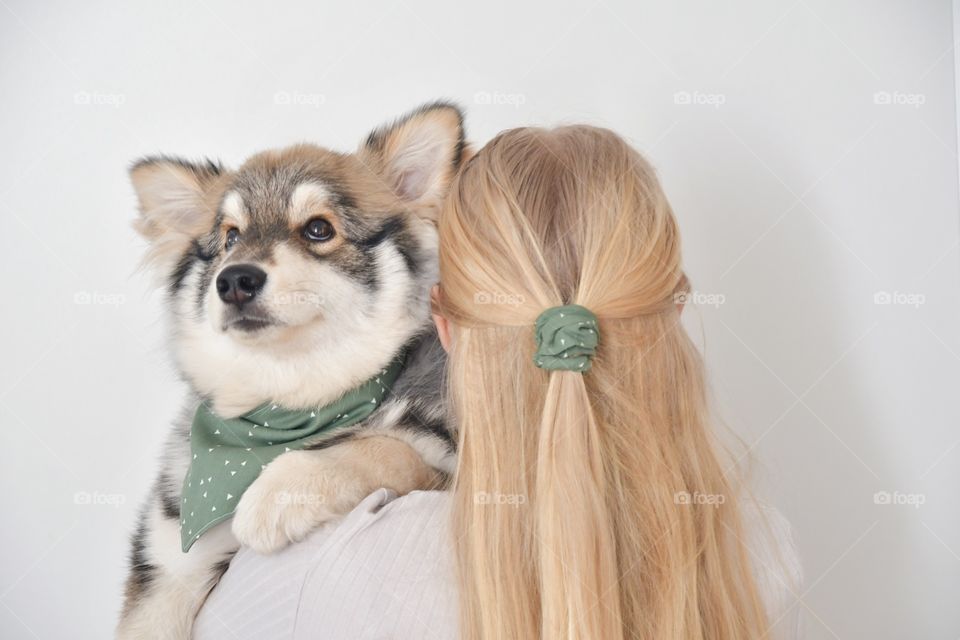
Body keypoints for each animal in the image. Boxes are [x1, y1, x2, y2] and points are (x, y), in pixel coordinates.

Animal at [116, 102, 464, 636]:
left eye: (318, 229)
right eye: (229, 237)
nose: (233, 281)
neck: (286, 403)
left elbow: (381, 447)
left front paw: (279, 490)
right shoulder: (169, 558)